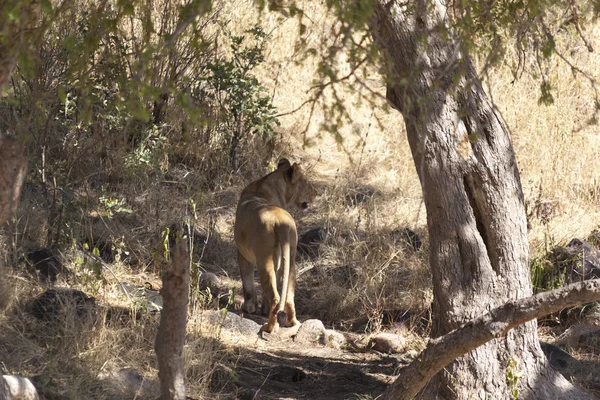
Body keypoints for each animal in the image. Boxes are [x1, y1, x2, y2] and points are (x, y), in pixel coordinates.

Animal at [234, 158, 316, 332]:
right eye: (305, 181)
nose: (316, 192)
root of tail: (281, 222)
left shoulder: (242, 252)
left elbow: (247, 280)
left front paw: (249, 308)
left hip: (265, 260)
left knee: (275, 297)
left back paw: (269, 327)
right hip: (290, 259)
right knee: (288, 297)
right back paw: (292, 323)